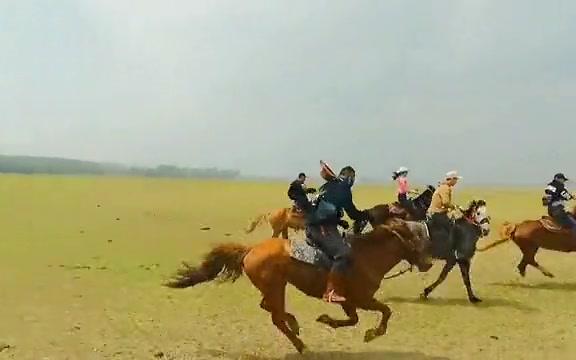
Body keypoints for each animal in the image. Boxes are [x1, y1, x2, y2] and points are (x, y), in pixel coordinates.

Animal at [164, 221, 430, 352]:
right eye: (414, 240)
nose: (428, 263)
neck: (366, 257)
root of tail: (251, 250)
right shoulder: (361, 299)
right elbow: (386, 311)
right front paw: (373, 333)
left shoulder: (349, 302)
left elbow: (353, 319)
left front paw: (327, 320)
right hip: (276, 287)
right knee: (275, 317)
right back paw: (301, 344)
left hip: (274, 287)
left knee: (269, 308)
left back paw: (294, 323)